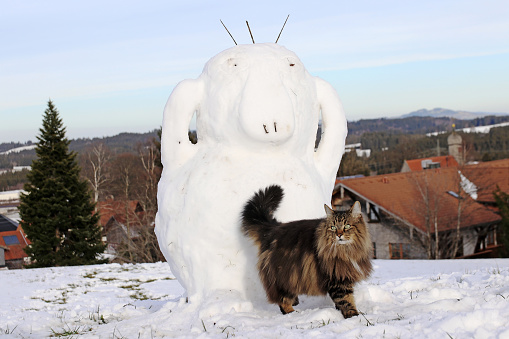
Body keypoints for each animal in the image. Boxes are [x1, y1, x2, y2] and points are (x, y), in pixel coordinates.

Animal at [240, 185, 372, 318]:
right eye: (333, 227)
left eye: (347, 226)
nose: (339, 235)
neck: (345, 250)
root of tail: (274, 228)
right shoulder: (337, 278)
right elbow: (346, 300)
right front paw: (353, 315)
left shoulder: (344, 273)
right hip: (284, 275)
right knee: (283, 301)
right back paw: (293, 313)